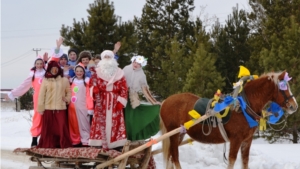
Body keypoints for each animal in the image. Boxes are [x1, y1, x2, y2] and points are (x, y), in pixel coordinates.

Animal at [159, 71, 298, 169]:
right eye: (283, 88)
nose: (294, 106)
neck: (244, 106)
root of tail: (165, 102)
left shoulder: (247, 140)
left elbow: (245, 161)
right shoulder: (236, 140)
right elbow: (232, 160)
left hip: (179, 134)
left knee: (171, 157)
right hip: (173, 134)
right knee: (175, 157)